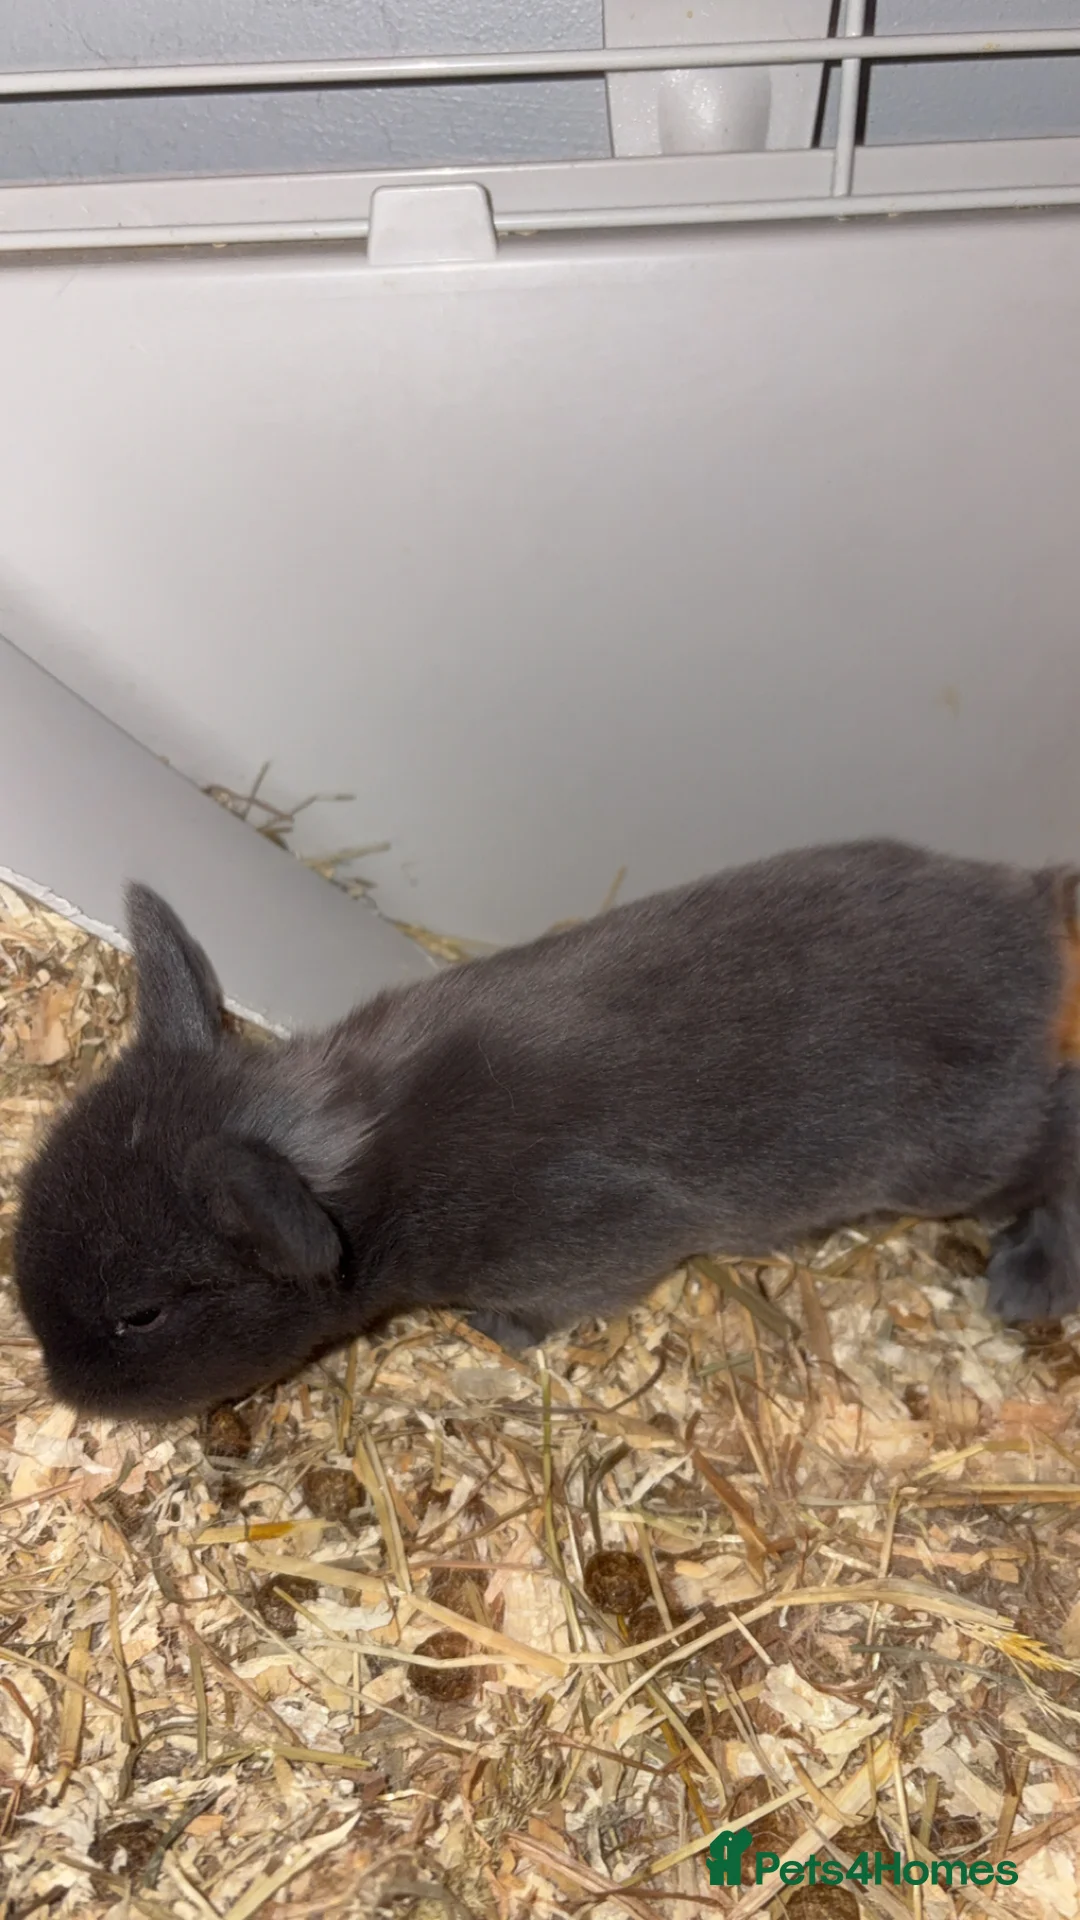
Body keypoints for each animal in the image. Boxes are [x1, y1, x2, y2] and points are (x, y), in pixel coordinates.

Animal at [13, 837, 1080, 1422]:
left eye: (143, 1315)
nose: (63, 1388)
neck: (375, 1181)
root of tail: (1031, 918)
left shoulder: (597, 1241)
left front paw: (499, 1332)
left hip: (964, 1158)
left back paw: (1026, 1281)